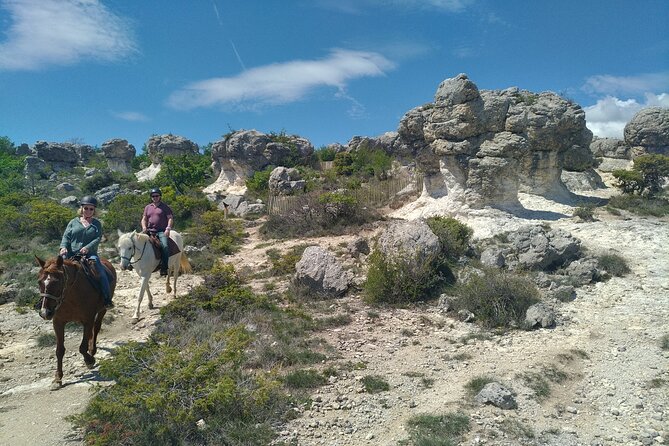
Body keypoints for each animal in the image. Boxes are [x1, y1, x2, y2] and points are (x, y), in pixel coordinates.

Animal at [36, 256, 117, 388]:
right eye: (39, 282)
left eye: (57, 282)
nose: (45, 312)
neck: (71, 297)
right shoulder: (58, 323)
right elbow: (59, 350)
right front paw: (58, 378)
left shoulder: (87, 320)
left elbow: (82, 348)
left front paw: (89, 360)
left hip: (103, 310)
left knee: (96, 327)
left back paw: (92, 350)